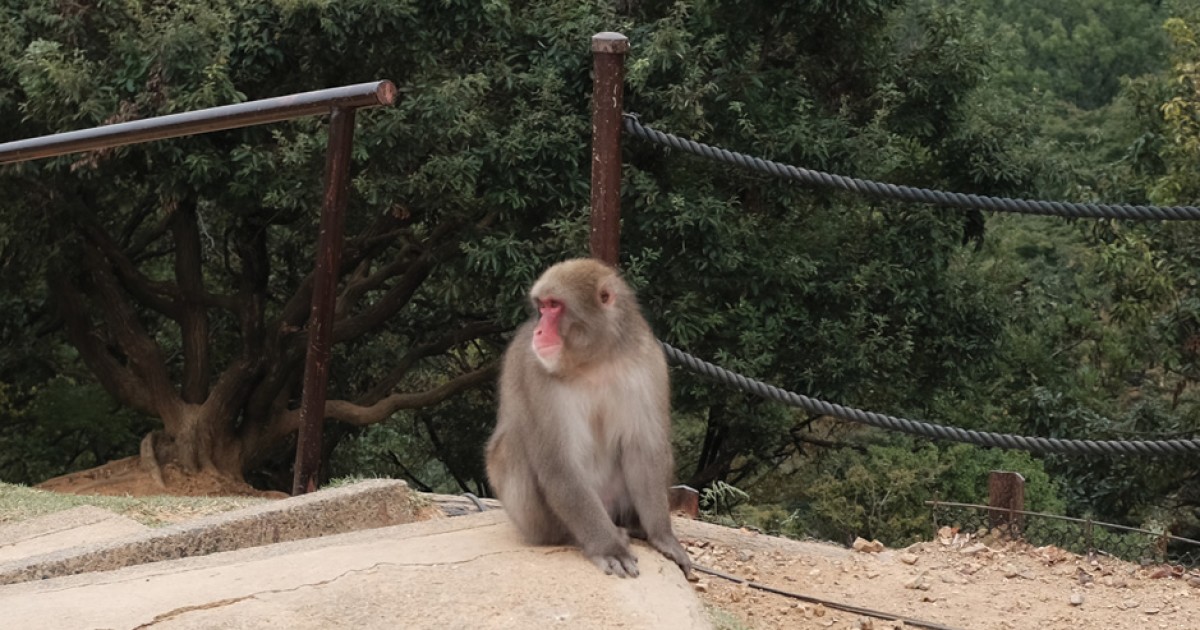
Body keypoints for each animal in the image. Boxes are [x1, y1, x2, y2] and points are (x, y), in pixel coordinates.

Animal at [485, 258, 694, 580]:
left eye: (554, 305)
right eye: (542, 307)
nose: (538, 332)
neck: (595, 360)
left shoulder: (648, 363)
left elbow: (644, 451)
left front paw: (663, 537)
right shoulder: (535, 371)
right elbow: (559, 464)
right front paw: (609, 548)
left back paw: (635, 527)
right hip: (537, 522)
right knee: (512, 444)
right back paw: (575, 535)